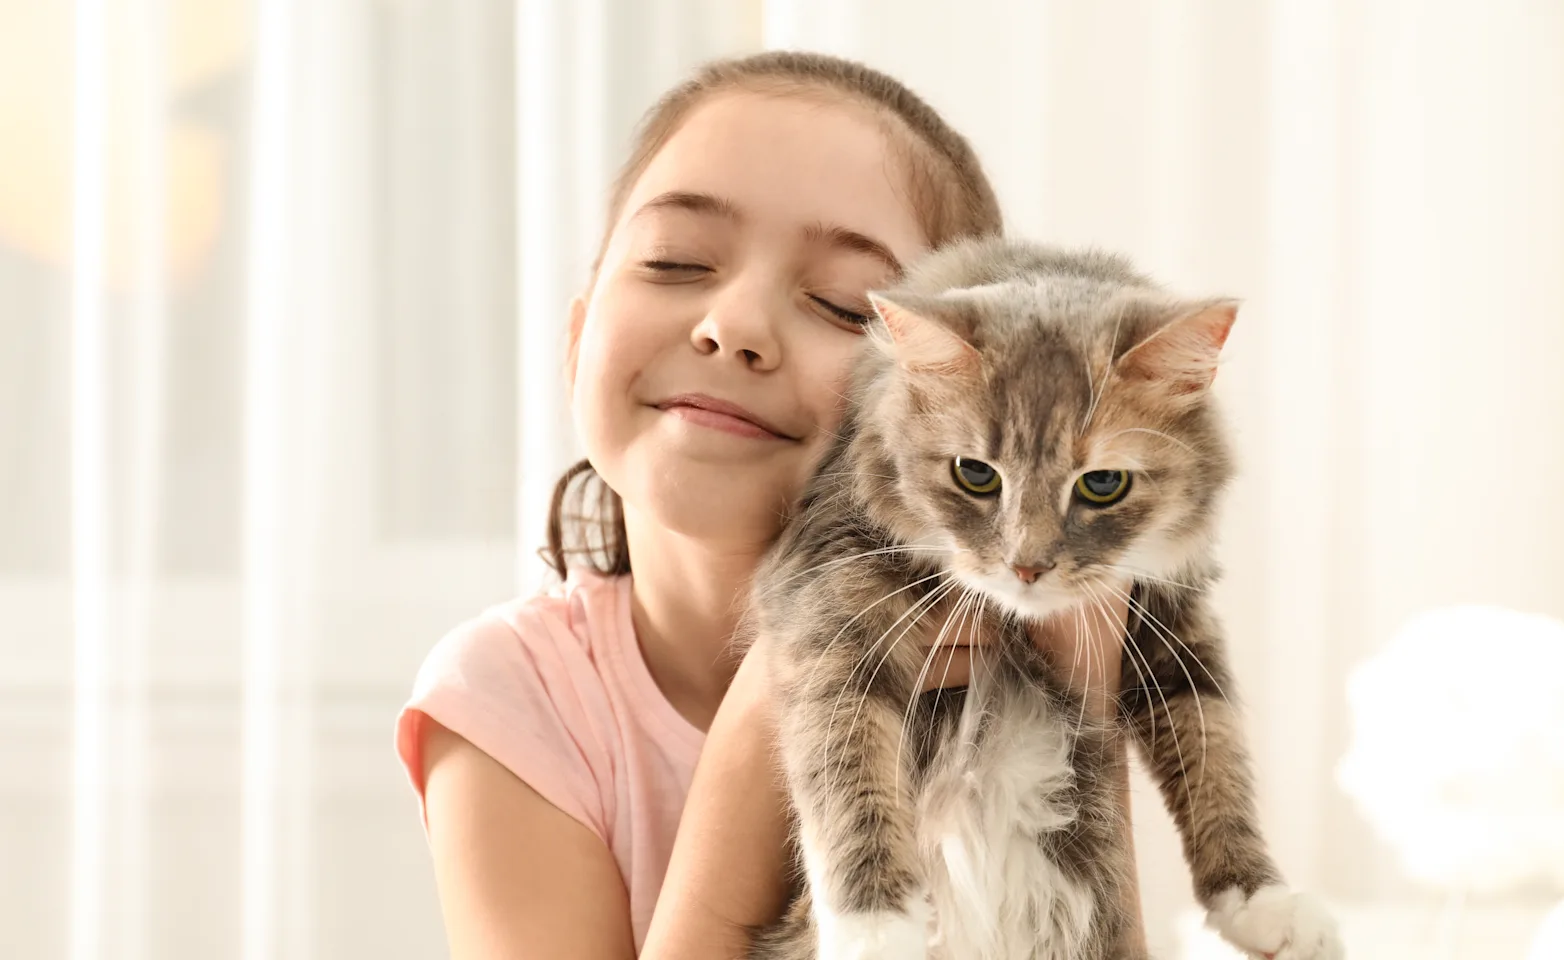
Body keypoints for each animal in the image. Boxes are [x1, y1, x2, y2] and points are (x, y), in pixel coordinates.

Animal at [744, 234, 1345, 960]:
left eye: (1103, 484)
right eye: (975, 475)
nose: (1027, 566)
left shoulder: (1173, 617)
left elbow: (1215, 751)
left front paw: (1262, 902)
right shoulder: (830, 602)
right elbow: (846, 763)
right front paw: (877, 934)